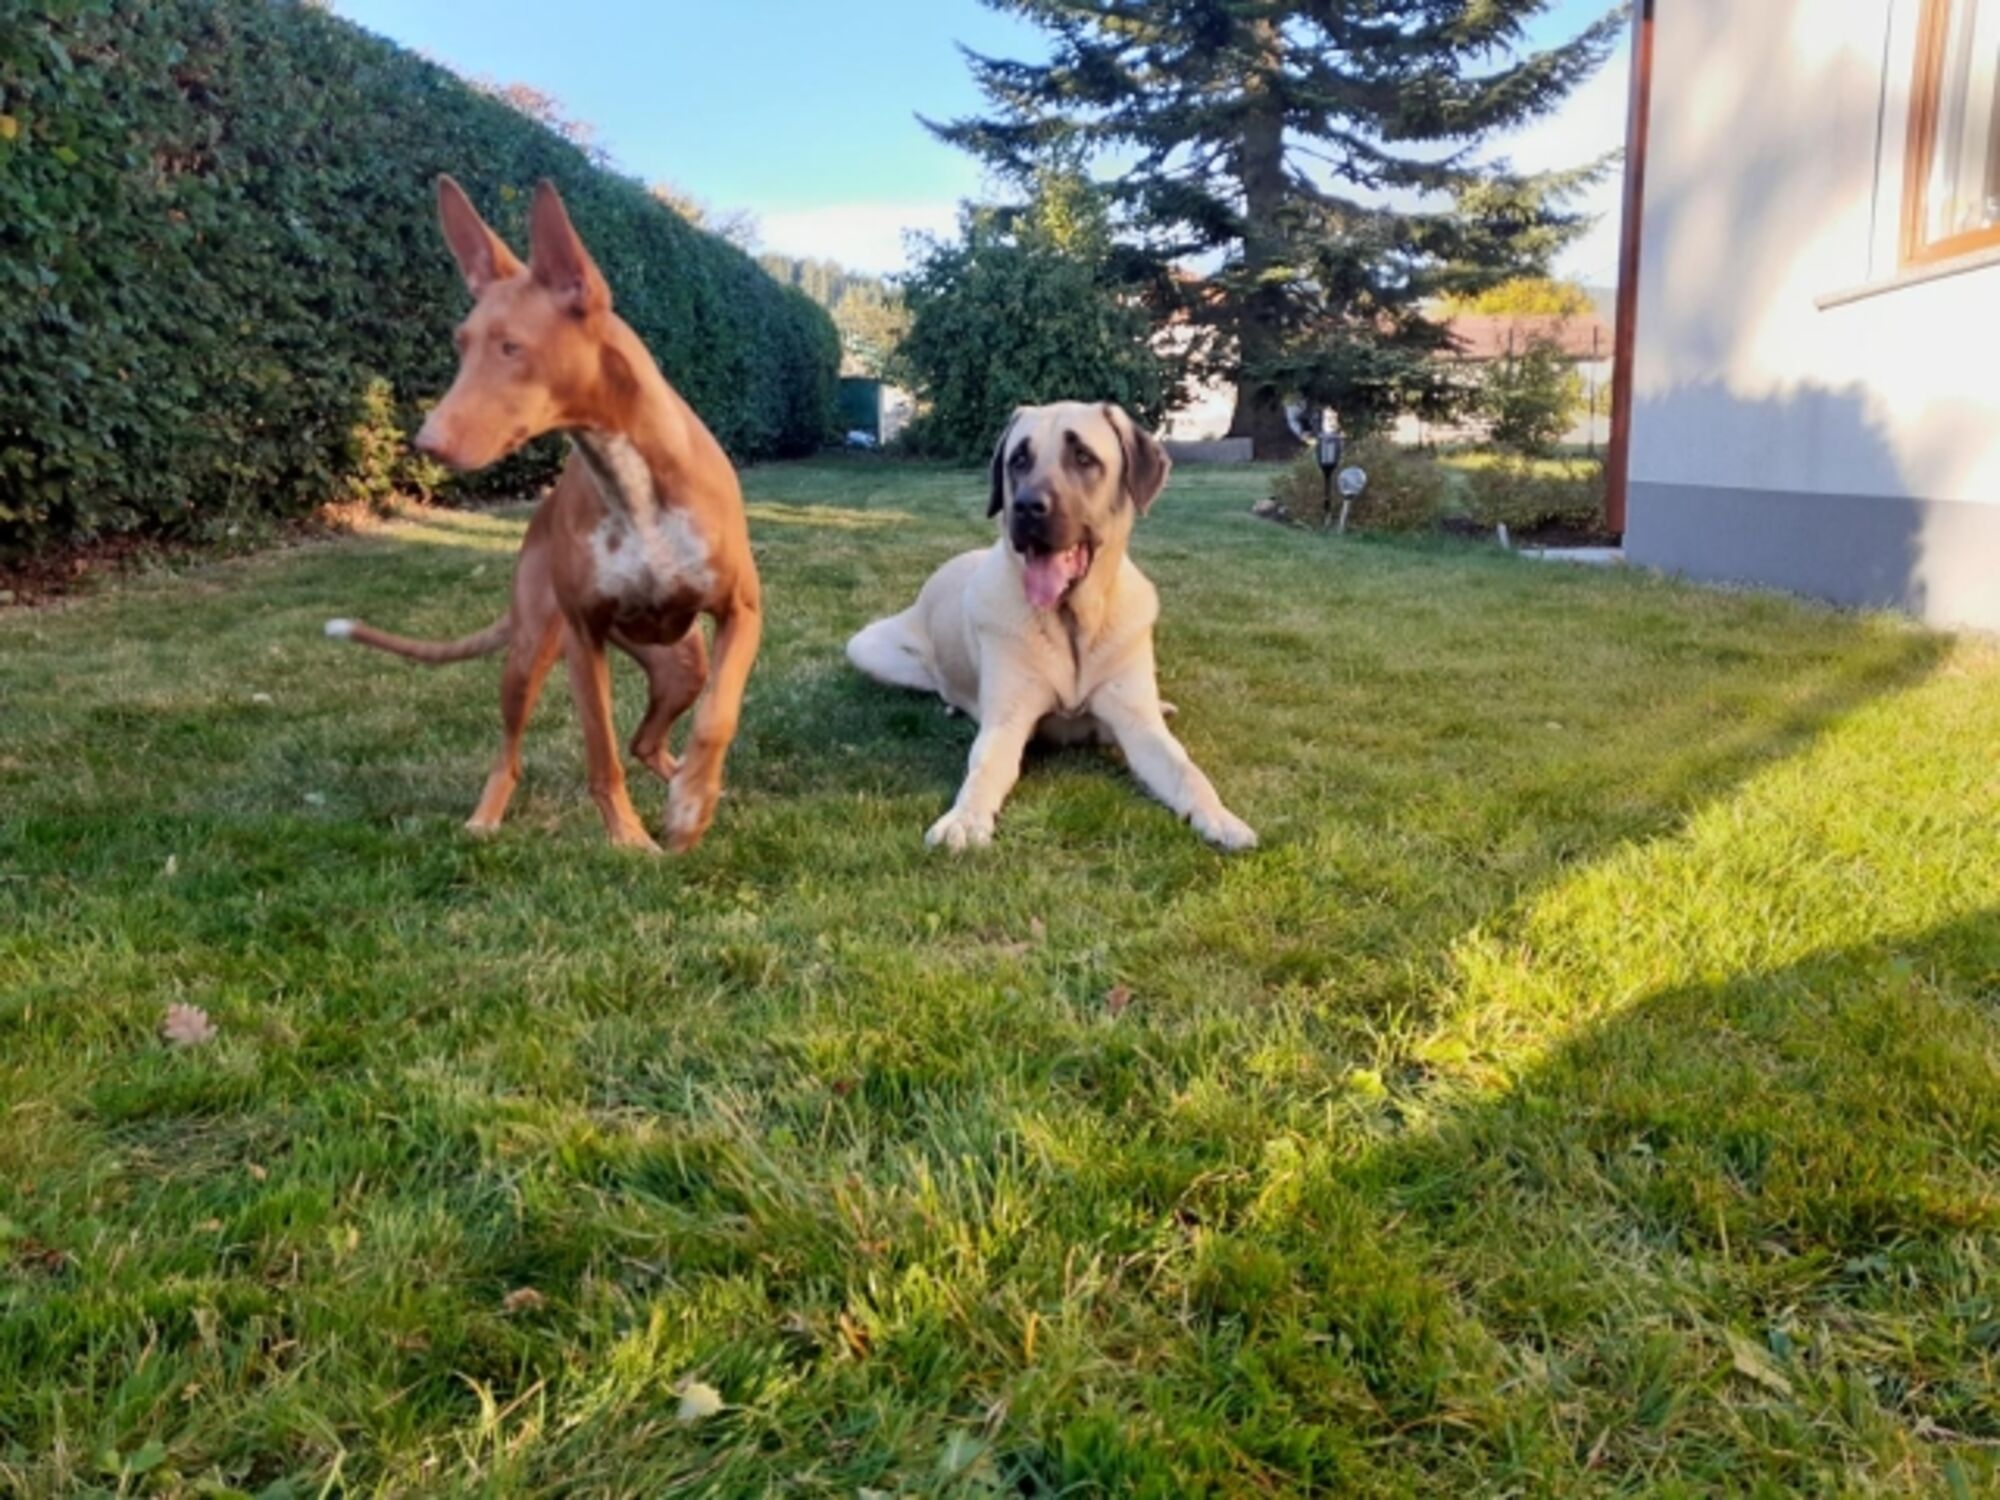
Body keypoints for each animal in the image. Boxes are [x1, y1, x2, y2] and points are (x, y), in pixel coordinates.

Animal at [325, 176, 761, 854]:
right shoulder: (584, 635)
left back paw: (682, 783)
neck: (630, 475)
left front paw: (690, 806)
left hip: (681, 663)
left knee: (649, 738)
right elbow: (599, 752)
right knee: (513, 752)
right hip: (530, 653)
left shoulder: (741, 611)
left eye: (512, 348)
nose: (424, 443)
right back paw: (486, 816)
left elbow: (719, 715)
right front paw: (629, 838)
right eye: (461, 344)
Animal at [847, 402, 1256, 853]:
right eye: (1018, 460)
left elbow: (1188, 771)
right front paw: (965, 819)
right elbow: (984, 770)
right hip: (865, 647)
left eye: (1083, 457)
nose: (1026, 508)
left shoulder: (1139, 726)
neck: (1072, 621)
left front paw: (1221, 818)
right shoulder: (1007, 723)